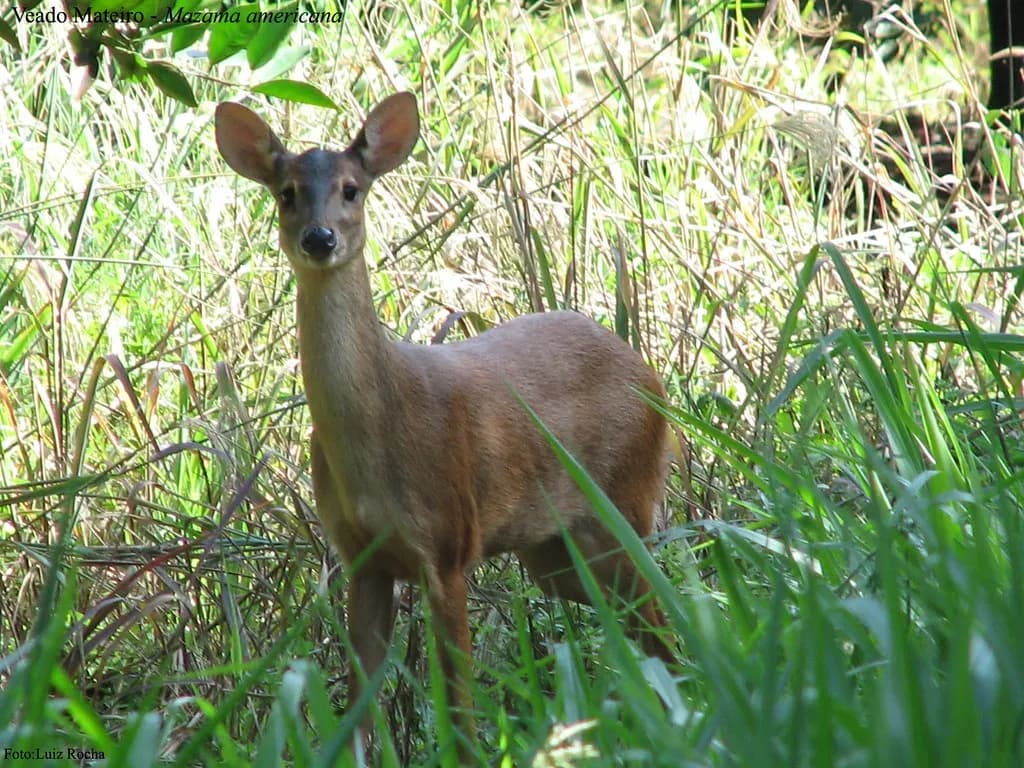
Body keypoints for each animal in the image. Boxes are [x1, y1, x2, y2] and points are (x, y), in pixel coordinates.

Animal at [214, 92, 675, 759]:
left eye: (352, 188)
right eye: (287, 192)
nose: (319, 238)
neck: (378, 433)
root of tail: (648, 372)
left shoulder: (449, 544)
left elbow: (458, 710)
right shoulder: (361, 558)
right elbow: (358, 706)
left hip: (625, 500)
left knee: (664, 616)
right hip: (553, 551)